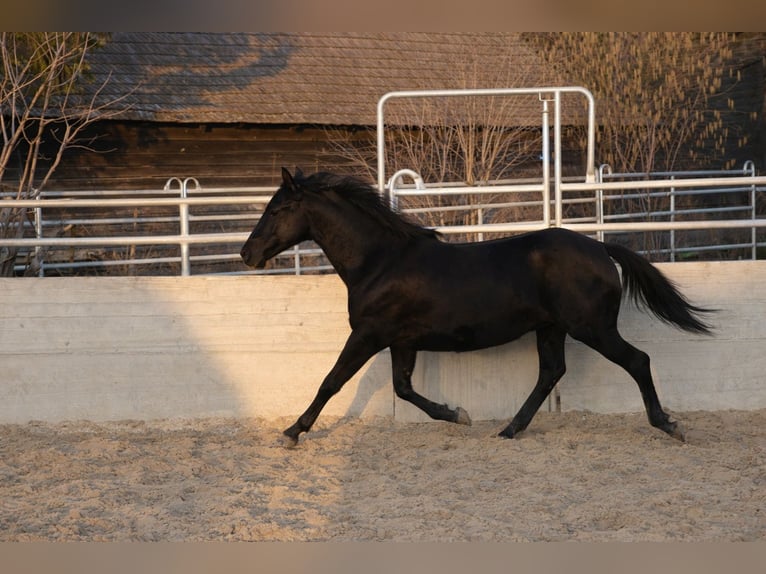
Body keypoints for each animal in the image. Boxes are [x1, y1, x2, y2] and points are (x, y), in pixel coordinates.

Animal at [241, 168, 713, 446]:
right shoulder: (402, 340)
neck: (380, 261)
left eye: (280, 208)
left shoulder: (368, 334)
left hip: (592, 328)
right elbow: (403, 389)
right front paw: (458, 415)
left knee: (637, 361)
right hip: (551, 328)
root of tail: (600, 247)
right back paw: (509, 429)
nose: (247, 253)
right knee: (550, 372)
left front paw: (292, 431)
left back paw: (669, 425)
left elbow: (331, 382)